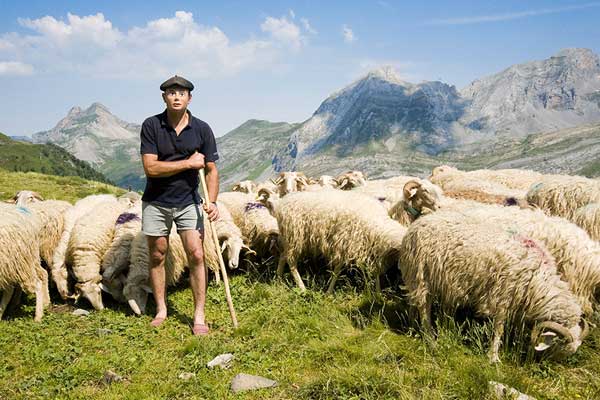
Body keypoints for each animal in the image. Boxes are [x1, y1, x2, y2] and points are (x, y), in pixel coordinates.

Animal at [400, 211, 588, 364]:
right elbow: (498, 329)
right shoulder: (503, 296)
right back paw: (430, 339)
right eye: (558, 346)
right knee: (424, 307)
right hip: (421, 273)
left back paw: (412, 326)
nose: (542, 363)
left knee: (413, 302)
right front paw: (494, 357)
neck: (538, 278)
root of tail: (418, 223)